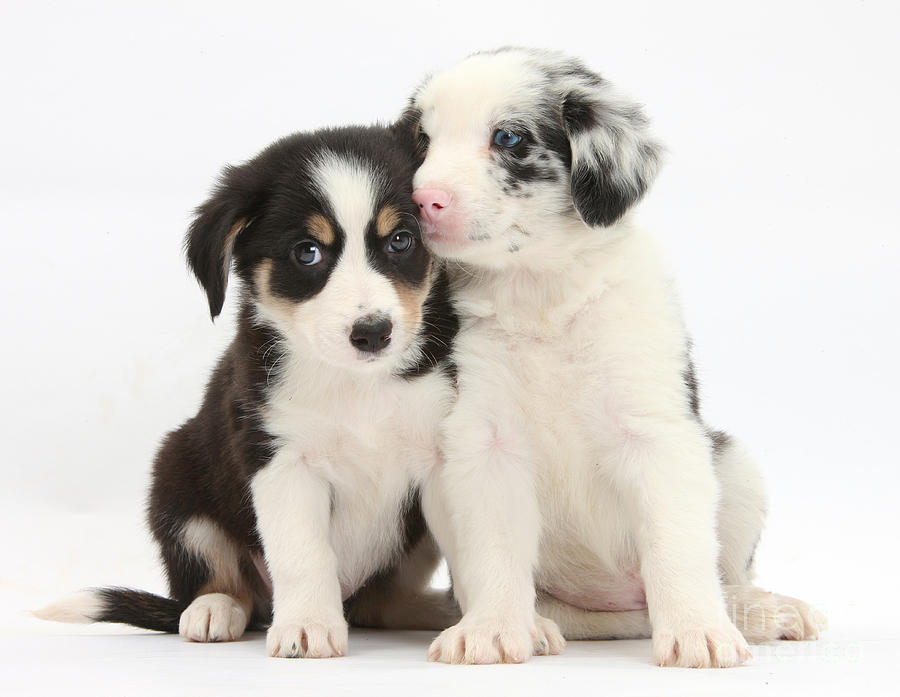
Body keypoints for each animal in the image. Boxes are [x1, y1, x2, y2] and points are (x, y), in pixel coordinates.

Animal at [36, 123, 460, 656]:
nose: (373, 333)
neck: (354, 382)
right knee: (224, 583)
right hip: (177, 481)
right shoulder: (280, 459)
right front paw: (307, 626)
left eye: (401, 240)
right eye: (307, 252)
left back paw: (440, 610)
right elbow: (303, 554)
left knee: (380, 605)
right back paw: (213, 611)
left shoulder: (441, 455)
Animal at [404, 46, 828, 668]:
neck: (543, 296)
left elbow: (678, 547)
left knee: (724, 574)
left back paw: (761, 610)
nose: (420, 202)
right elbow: (495, 551)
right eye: (422, 140)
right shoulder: (486, 443)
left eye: (508, 137)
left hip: (734, 464)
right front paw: (491, 628)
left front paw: (698, 629)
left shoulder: (658, 434)